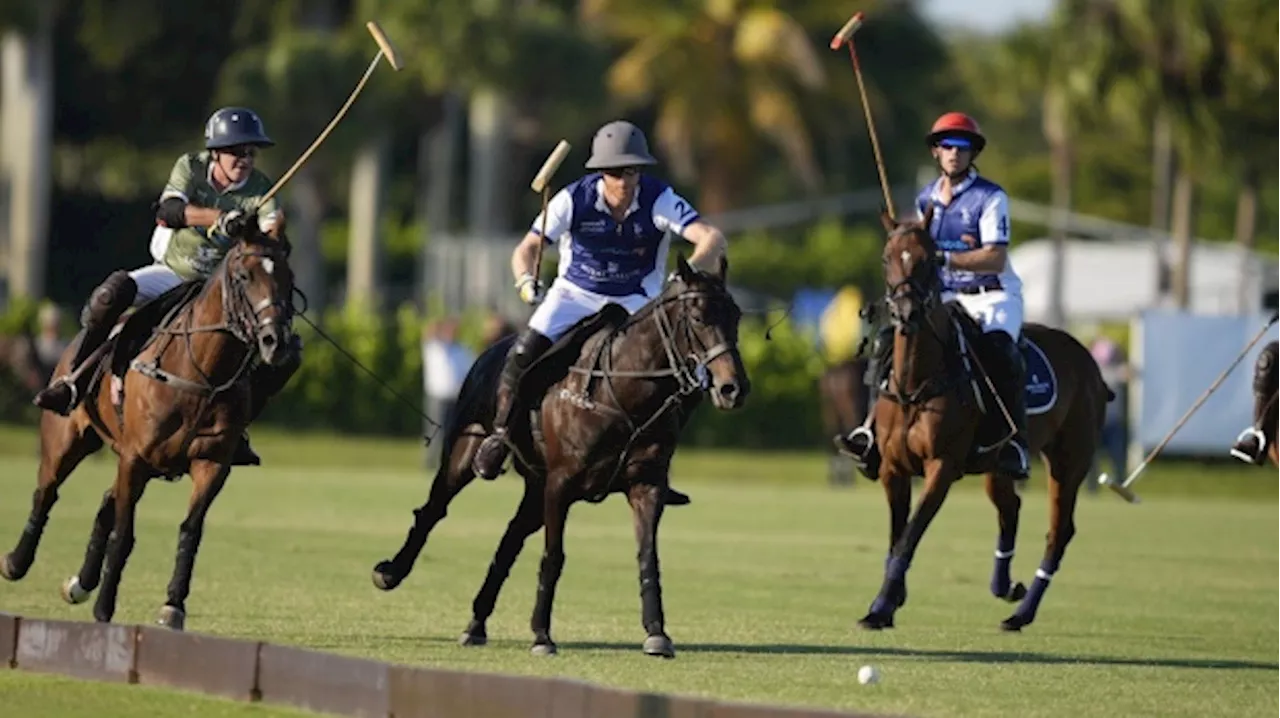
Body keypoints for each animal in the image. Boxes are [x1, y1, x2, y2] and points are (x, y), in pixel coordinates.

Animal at [0, 217, 296, 627]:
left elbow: (190, 530)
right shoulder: (135, 458)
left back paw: (81, 582)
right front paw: (105, 608)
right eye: (242, 275)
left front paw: (173, 606)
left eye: (288, 277)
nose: (276, 341)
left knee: (104, 504)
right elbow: (124, 534)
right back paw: (16, 562)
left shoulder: (212, 463)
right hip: (67, 437)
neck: (201, 373)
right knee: (47, 491)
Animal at [373, 254, 747, 660]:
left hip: (535, 488)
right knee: (434, 510)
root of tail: (490, 348)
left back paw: (476, 623)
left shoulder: (646, 485)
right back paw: (391, 572)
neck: (624, 394)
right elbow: (554, 556)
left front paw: (657, 633)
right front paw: (541, 635)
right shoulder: (561, 484)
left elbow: (648, 555)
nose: (734, 388)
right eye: (698, 317)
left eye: (737, 316)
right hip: (466, 452)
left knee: (510, 539)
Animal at [855, 209, 1116, 629]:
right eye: (885, 258)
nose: (906, 313)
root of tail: (1089, 360)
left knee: (1058, 532)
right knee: (1011, 509)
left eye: (929, 259)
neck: (916, 382)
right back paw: (1006, 587)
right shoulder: (892, 468)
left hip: (1070, 460)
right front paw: (887, 605)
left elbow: (911, 534)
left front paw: (882, 607)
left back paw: (1021, 615)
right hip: (997, 466)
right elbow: (897, 535)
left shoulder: (942, 466)